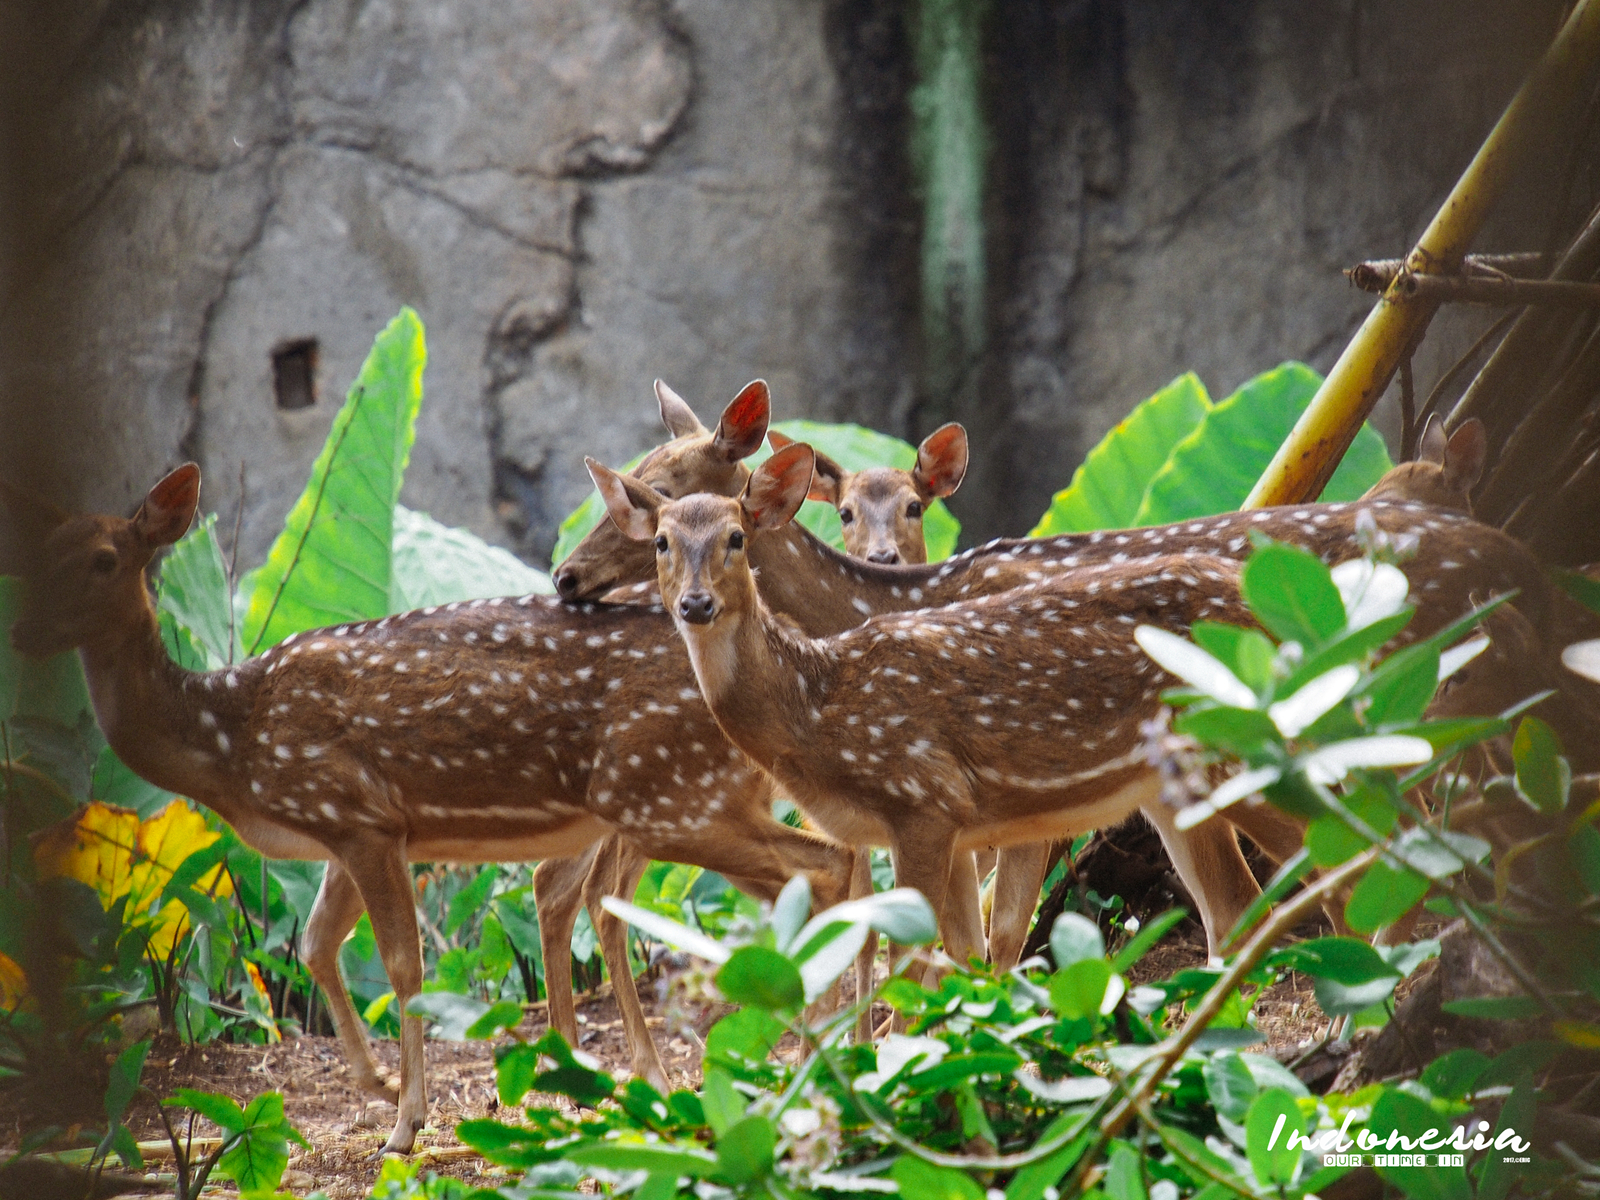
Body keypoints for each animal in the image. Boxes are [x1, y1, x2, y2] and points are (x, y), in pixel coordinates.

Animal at [6, 460, 857, 1158]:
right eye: (36, 559)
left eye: (105, 560)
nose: (24, 632)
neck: (230, 741)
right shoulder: (346, 834)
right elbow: (316, 945)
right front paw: (378, 1084)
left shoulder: (360, 815)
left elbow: (400, 965)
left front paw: (406, 1122)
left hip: (674, 794)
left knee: (811, 864)